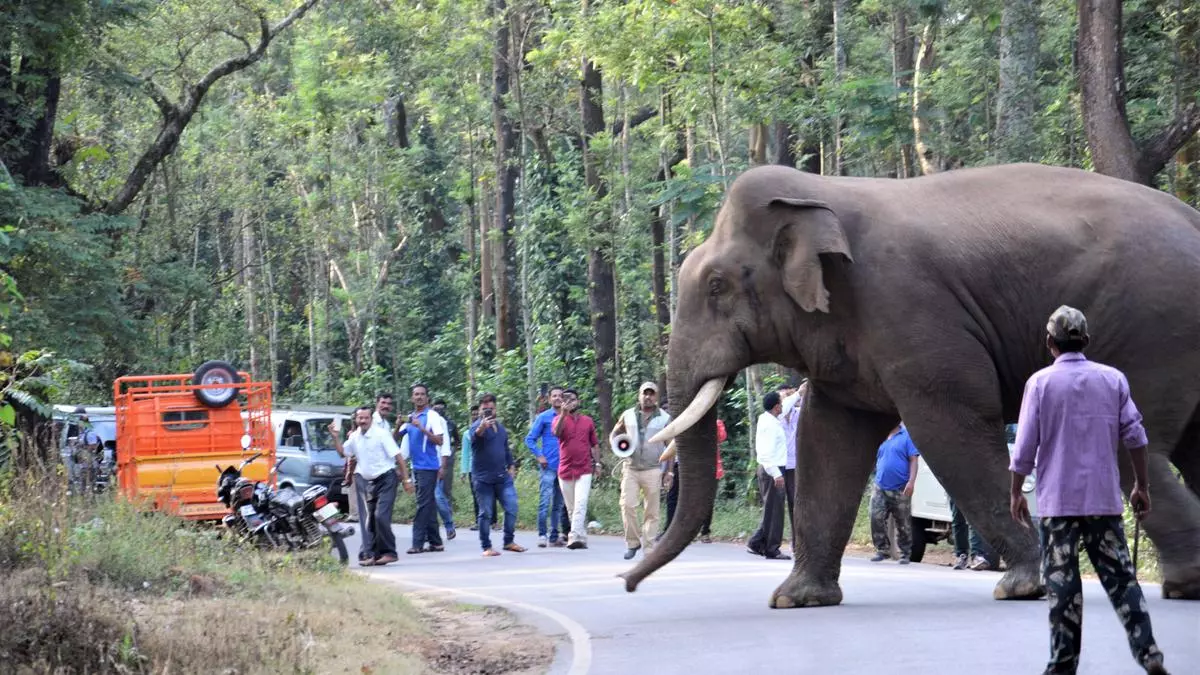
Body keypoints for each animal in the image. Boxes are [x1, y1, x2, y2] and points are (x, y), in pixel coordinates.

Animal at [624, 162, 1200, 605]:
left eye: (716, 286)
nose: (628, 583)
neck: (821, 191)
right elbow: (827, 439)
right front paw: (796, 598)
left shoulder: (911, 311)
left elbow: (951, 426)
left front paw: (1021, 587)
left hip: (1153, 326)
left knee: (1136, 449)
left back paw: (1182, 582)